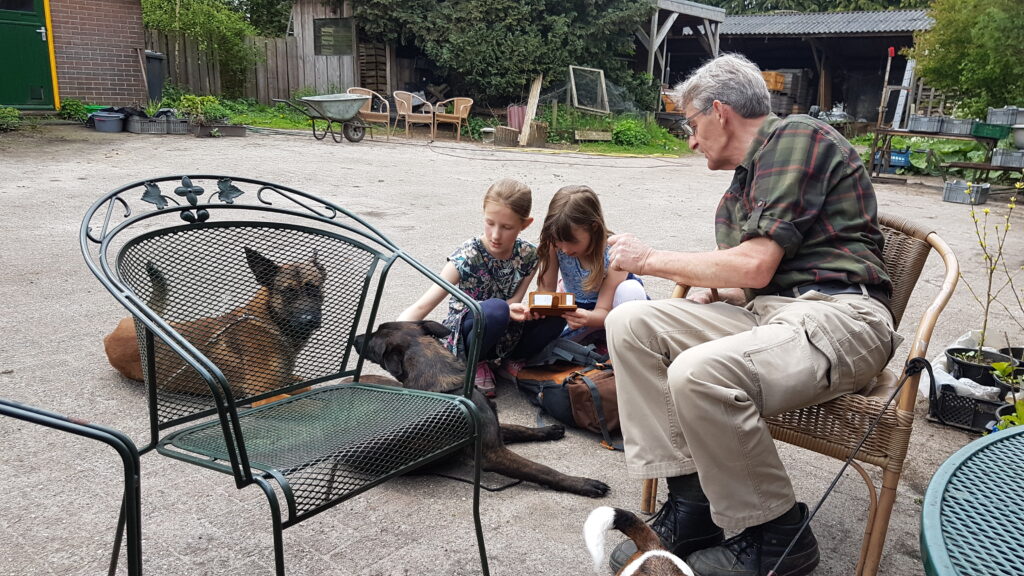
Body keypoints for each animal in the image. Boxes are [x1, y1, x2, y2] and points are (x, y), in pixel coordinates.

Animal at [101, 247, 325, 403]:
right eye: (288, 292)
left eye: (313, 288)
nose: (309, 320)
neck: (271, 321)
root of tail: (110, 338)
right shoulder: (262, 394)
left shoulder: (285, 383)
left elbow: (305, 386)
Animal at [354, 319, 606, 496]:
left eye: (374, 335)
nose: (355, 338)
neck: (446, 380)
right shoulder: (492, 455)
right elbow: (541, 469)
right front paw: (580, 483)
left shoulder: (490, 427)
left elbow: (517, 428)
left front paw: (545, 430)